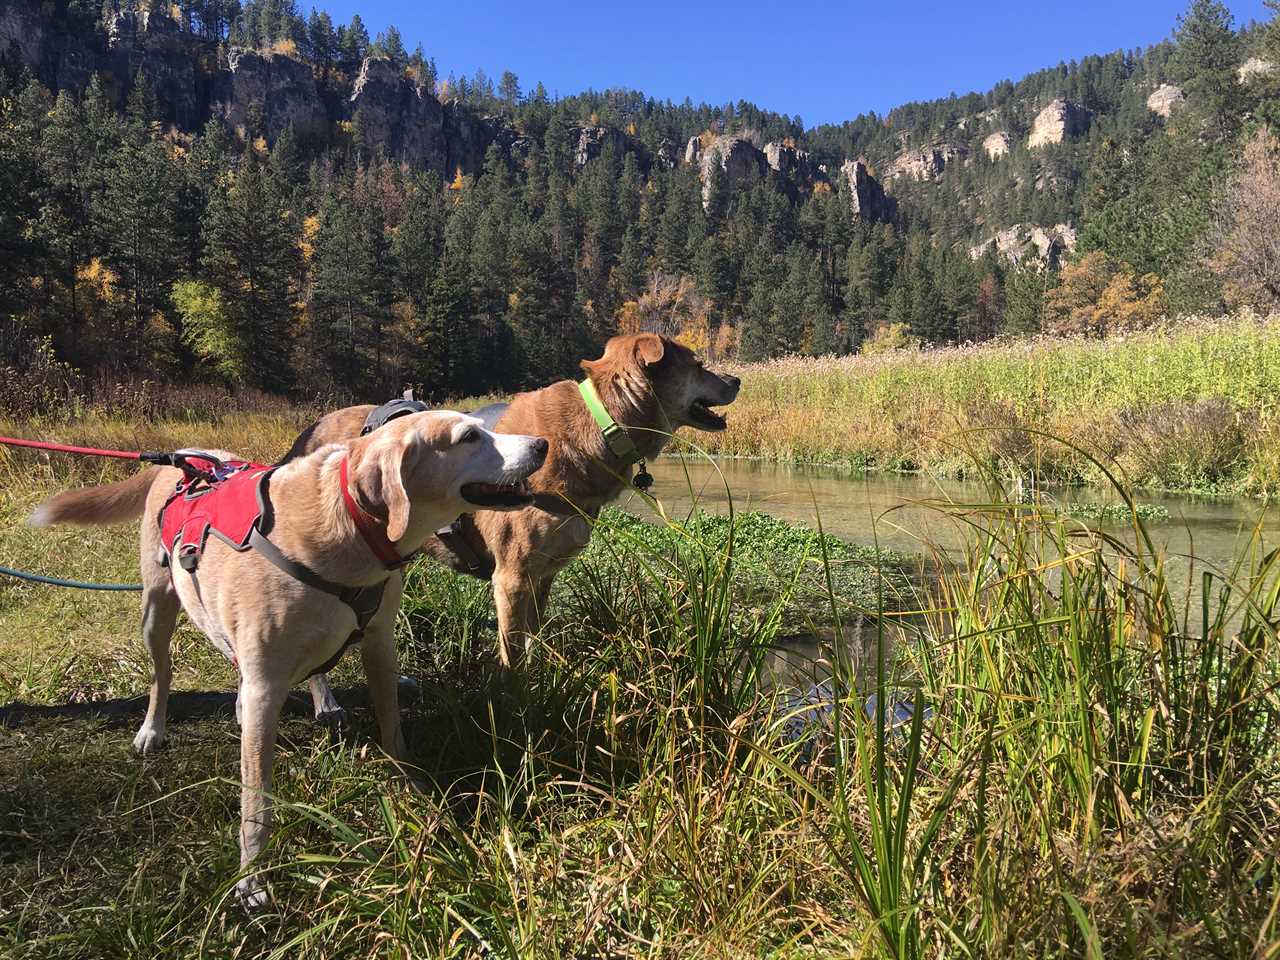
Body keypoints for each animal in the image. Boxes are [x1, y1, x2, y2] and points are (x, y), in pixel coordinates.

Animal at [30, 414, 547, 911]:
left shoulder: (379, 644)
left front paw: (414, 792)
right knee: (163, 676)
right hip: (157, 611)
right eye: (469, 436)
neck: (350, 524)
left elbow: (392, 731)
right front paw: (251, 878)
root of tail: (188, 457)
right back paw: (153, 728)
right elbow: (255, 801)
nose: (541, 444)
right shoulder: (267, 683)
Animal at [282, 332, 742, 675]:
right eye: (698, 365)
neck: (601, 422)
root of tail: (307, 432)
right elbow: (513, 650)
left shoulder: (544, 575)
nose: (737, 380)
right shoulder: (512, 577)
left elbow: (534, 639)